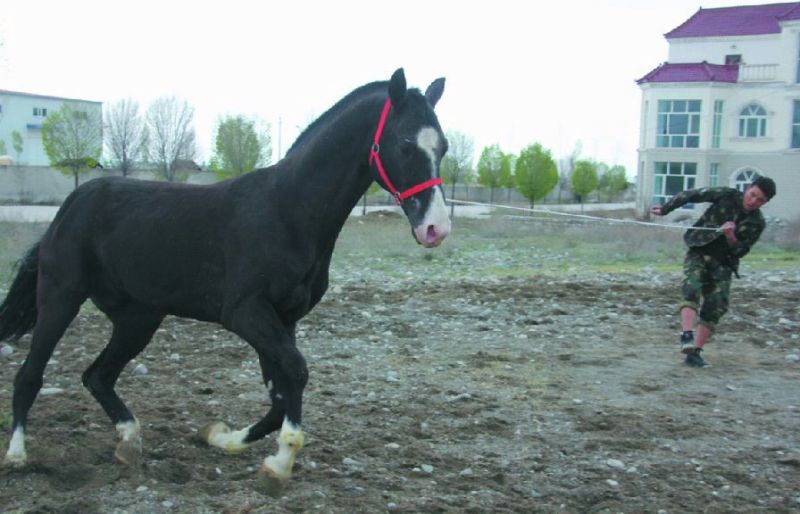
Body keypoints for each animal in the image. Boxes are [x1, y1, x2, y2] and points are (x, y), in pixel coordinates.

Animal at [0, 68, 451, 489]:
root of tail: (70, 205)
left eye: (443, 147)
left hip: (138, 319)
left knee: (97, 375)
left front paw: (222, 438)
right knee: (30, 375)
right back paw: (18, 455)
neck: (288, 212)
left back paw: (129, 442)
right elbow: (295, 372)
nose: (436, 229)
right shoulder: (245, 312)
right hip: (60, 297)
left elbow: (280, 394)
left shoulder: (283, 318)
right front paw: (280, 465)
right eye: (405, 144)